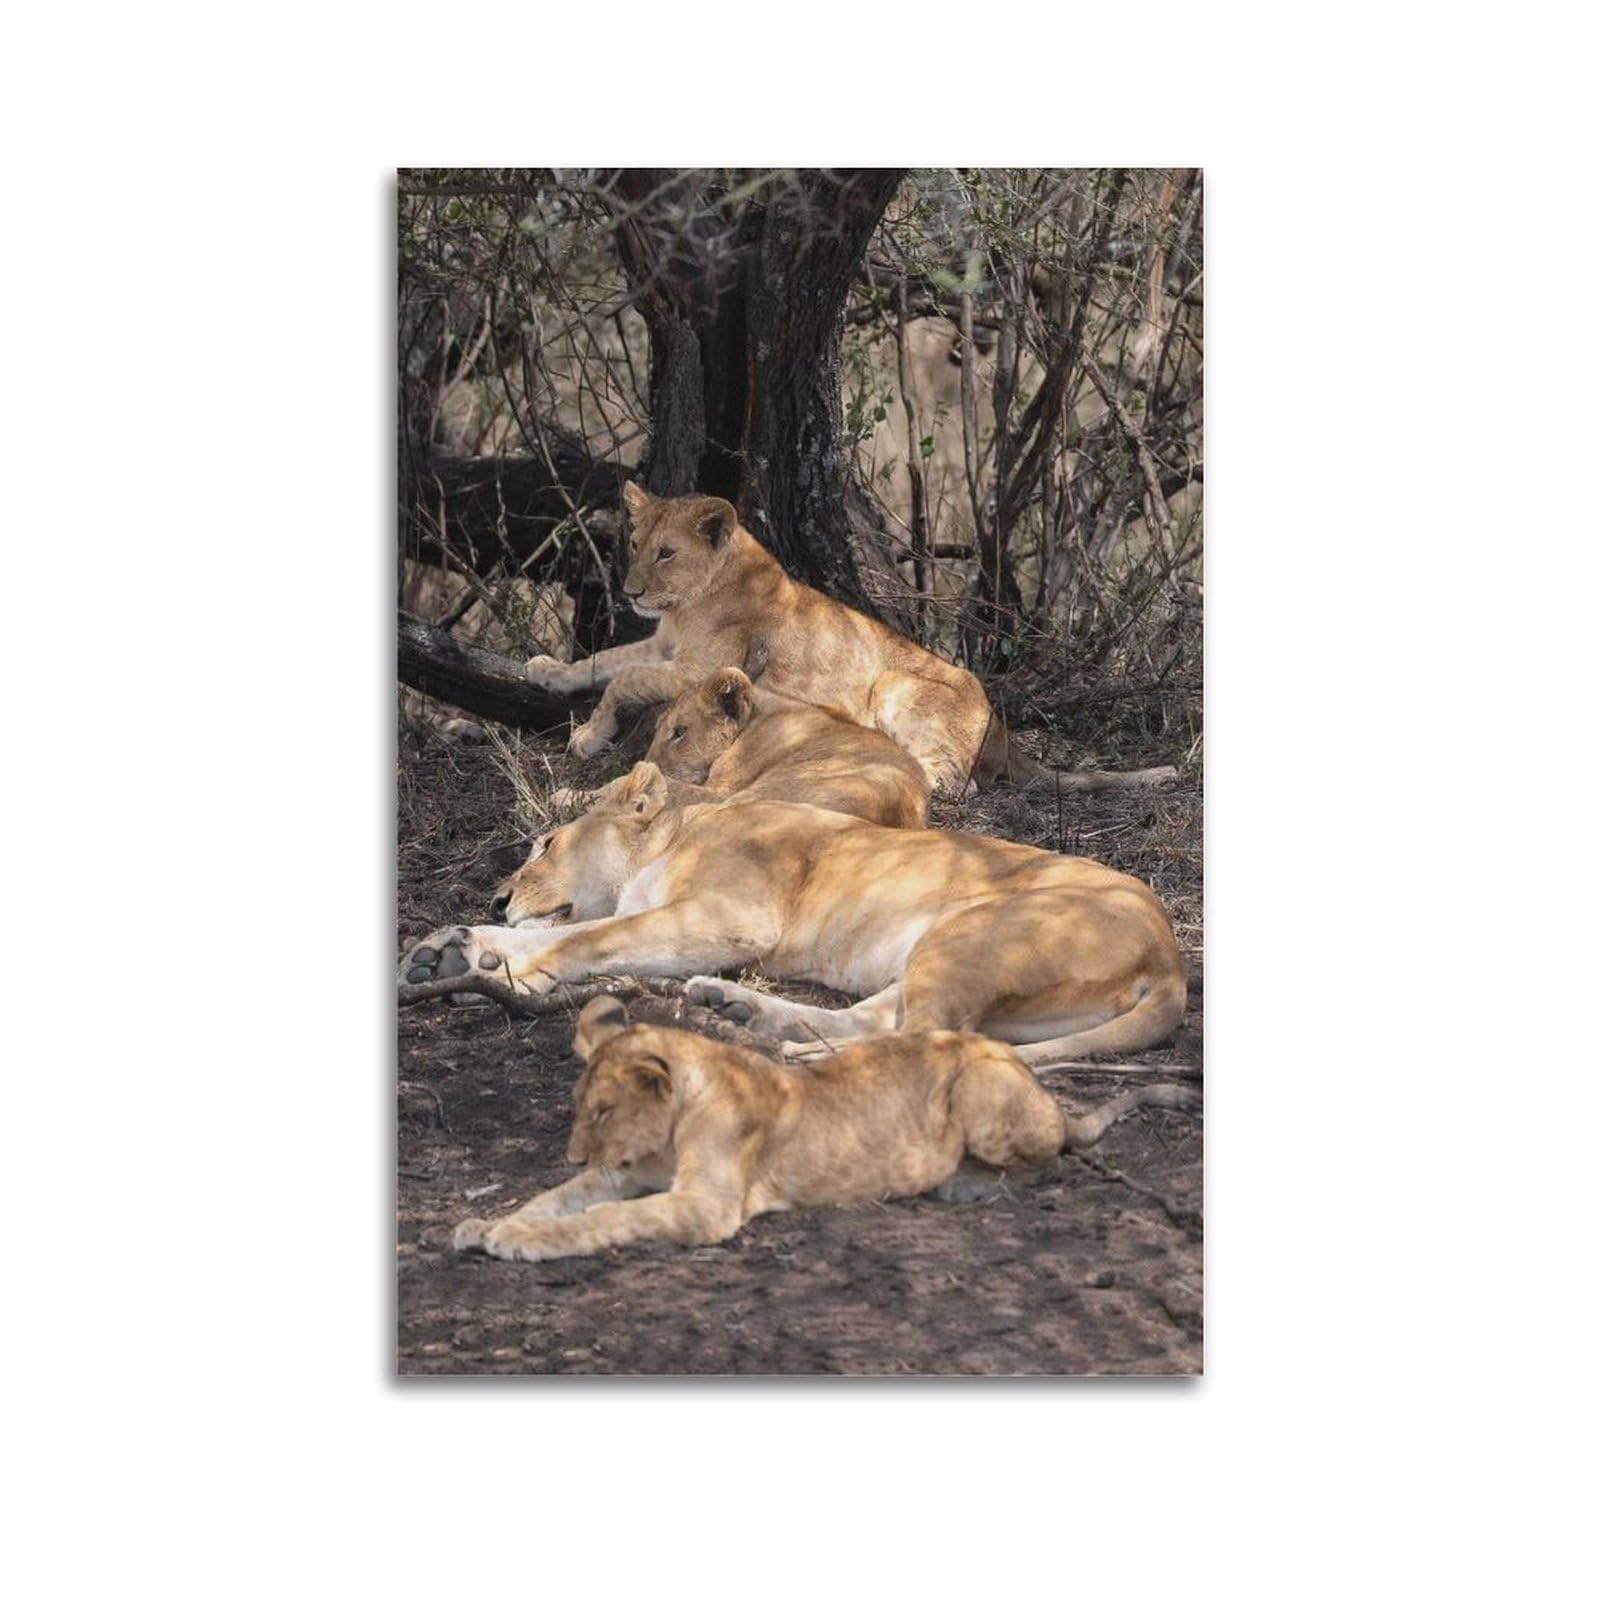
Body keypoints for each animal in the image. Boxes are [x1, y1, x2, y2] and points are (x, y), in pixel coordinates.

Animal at [405, 762, 1187, 1066]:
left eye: (546, 842)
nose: (497, 896)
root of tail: (1173, 959)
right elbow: (586, 928)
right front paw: (450, 951)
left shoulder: (728, 917)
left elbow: (593, 935)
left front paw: (513, 971)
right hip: (942, 953)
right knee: (882, 1021)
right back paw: (742, 1013)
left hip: (974, 931)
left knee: (926, 1037)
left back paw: (790, 1054)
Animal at [450, 997, 1200, 1263]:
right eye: (582, 1109)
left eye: (603, 1110)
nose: (577, 1151)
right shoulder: (624, 1173)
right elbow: (557, 1199)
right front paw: (487, 1223)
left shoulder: (707, 1206)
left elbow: (605, 1221)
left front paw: (522, 1241)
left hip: (986, 1092)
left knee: (1051, 1159)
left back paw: (963, 1187)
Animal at [523, 484, 1177, 796]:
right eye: (635, 545)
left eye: (665, 553)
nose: (630, 590)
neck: (686, 607)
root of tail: (1004, 731)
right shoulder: (664, 648)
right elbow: (603, 661)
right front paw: (546, 671)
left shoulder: (699, 669)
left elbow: (626, 681)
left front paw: (588, 737)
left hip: (893, 683)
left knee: (957, 782)